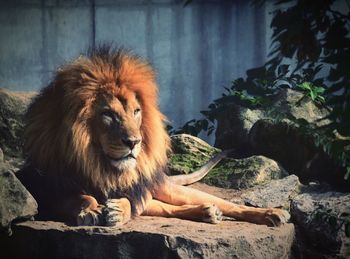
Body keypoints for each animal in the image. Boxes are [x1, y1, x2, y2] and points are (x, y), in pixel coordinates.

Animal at [17, 46, 290, 228]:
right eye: (108, 115)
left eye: (136, 111)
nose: (133, 142)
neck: (101, 166)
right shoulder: (47, 193)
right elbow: (80, 197)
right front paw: (92, 209)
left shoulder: (138, 192)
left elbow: (130, 203)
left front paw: (116, 210)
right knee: (168, 210)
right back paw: (206, 213)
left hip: (170, 190)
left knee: (225, 204)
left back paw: (271, 214)